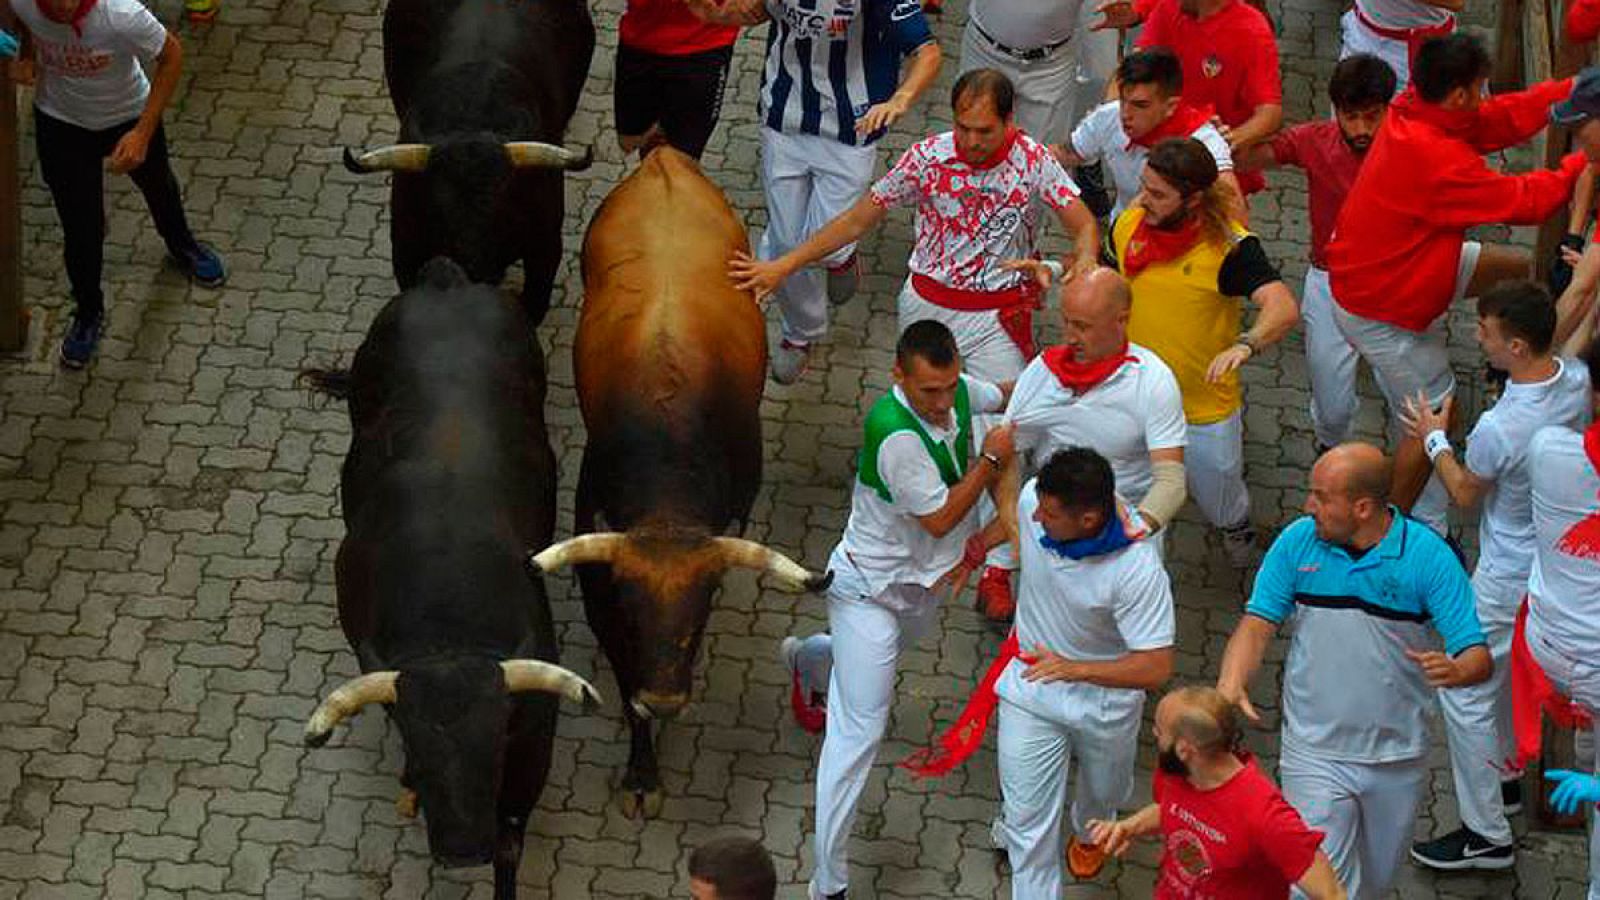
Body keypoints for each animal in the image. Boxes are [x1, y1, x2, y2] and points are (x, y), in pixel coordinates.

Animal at [300, 256, 601, 890]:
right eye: (419, 753)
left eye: (495, 748)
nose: (463, 851)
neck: (450, 627)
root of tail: (446, 282)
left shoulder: (533, 745)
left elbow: (511, 842)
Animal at [534, 147, 825, 813]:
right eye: (632, 610)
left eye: (698, 614)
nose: (665, 699)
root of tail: (665, 159)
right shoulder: (600, 583)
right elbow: (622, 675)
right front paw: (642, 770)